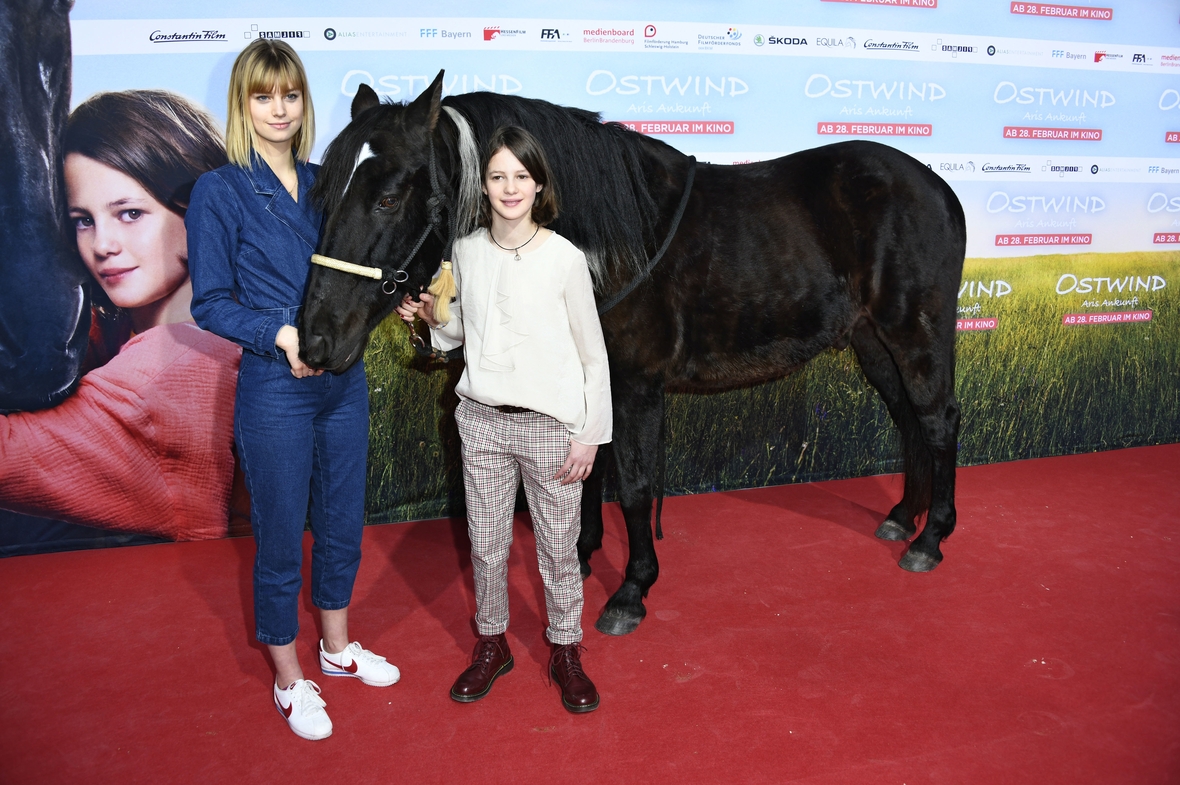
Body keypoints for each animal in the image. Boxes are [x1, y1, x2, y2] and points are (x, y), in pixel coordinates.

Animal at [299, 72, 962, 637]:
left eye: (388, 198)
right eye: (324, 195)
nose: (315, 339)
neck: (607, 243)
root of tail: (936, 186)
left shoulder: (636, 384)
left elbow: (636, 484)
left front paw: (631, 591)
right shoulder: (593, 382)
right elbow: (589, 470)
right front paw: (581, 554)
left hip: (915, 335)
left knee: (937, 420)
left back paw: (930, 540)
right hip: (873, 343)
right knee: (908, 419)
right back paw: (903, 516)